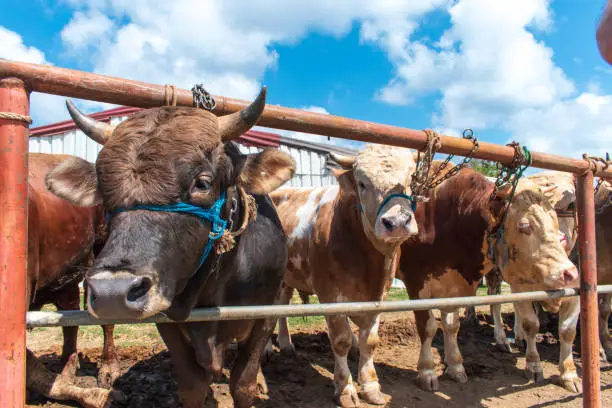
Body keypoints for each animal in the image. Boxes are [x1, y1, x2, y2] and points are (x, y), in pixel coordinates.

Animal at [268, 144, 418, 408]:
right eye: (362, 183)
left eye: (411, 178)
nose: (397, 222)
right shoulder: (329, 293)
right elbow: (341, 340)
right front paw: (345, 388)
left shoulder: (380, 295)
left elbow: (370, 340)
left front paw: (371, 386)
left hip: (289, 276)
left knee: (282, 304)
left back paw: (285, 343)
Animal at [396, 168, 580, 392]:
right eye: (524, 225)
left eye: (554, 221)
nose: (570, 273)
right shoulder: (416, 280)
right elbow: (427, 326)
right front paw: (427, 372)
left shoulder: (452, 284)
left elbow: (451, 325)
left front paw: (455, 366)